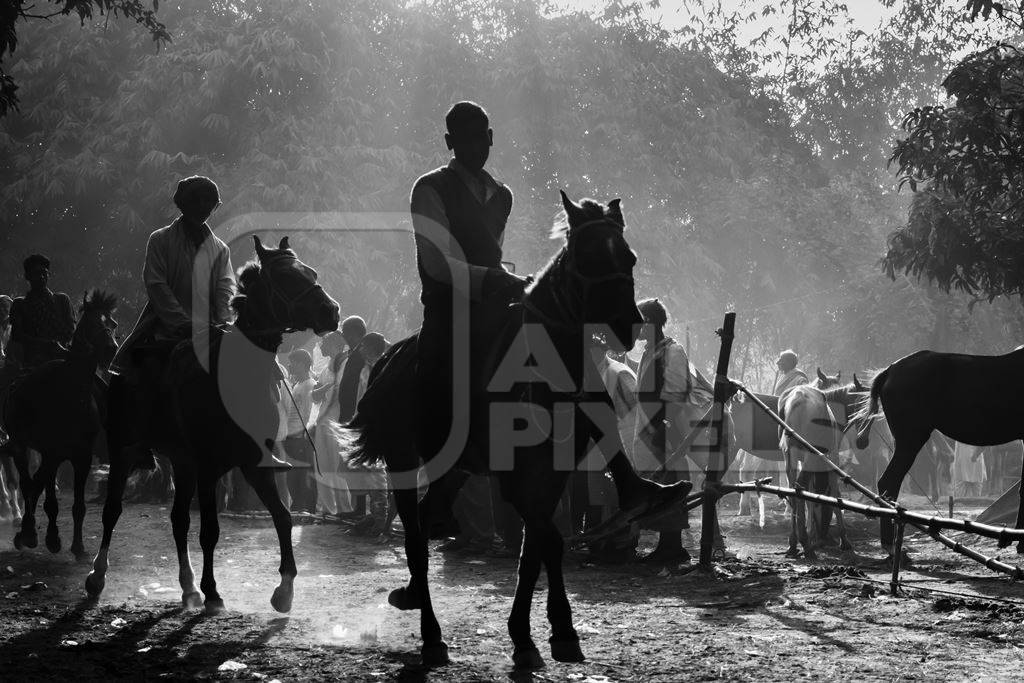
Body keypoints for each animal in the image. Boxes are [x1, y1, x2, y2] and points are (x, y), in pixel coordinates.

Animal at [3, 290, 118, 561]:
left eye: (112, 323)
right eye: (94, 323)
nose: (111, 349)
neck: (72, 395)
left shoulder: (82, 456)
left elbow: (78, 506)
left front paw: (78, 547)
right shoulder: (52, 452)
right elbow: (40, 490)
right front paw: (34, 536)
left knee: (38, 484)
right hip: (20, 445)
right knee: (27, 482)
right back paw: (28, 529)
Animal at [350, 191, 671, 667]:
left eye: (628, 257)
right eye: (588, 256)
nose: (626, 325)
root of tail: (388, 361)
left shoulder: (551, 476)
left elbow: (537, 548)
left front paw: (546, 632)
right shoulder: (515, 480)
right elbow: (545, 541)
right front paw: (540, 632)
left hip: (455, 470)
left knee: (426, 523)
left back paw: (415, 595)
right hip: (403, 462)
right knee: (415, 540)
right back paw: (431, 636)